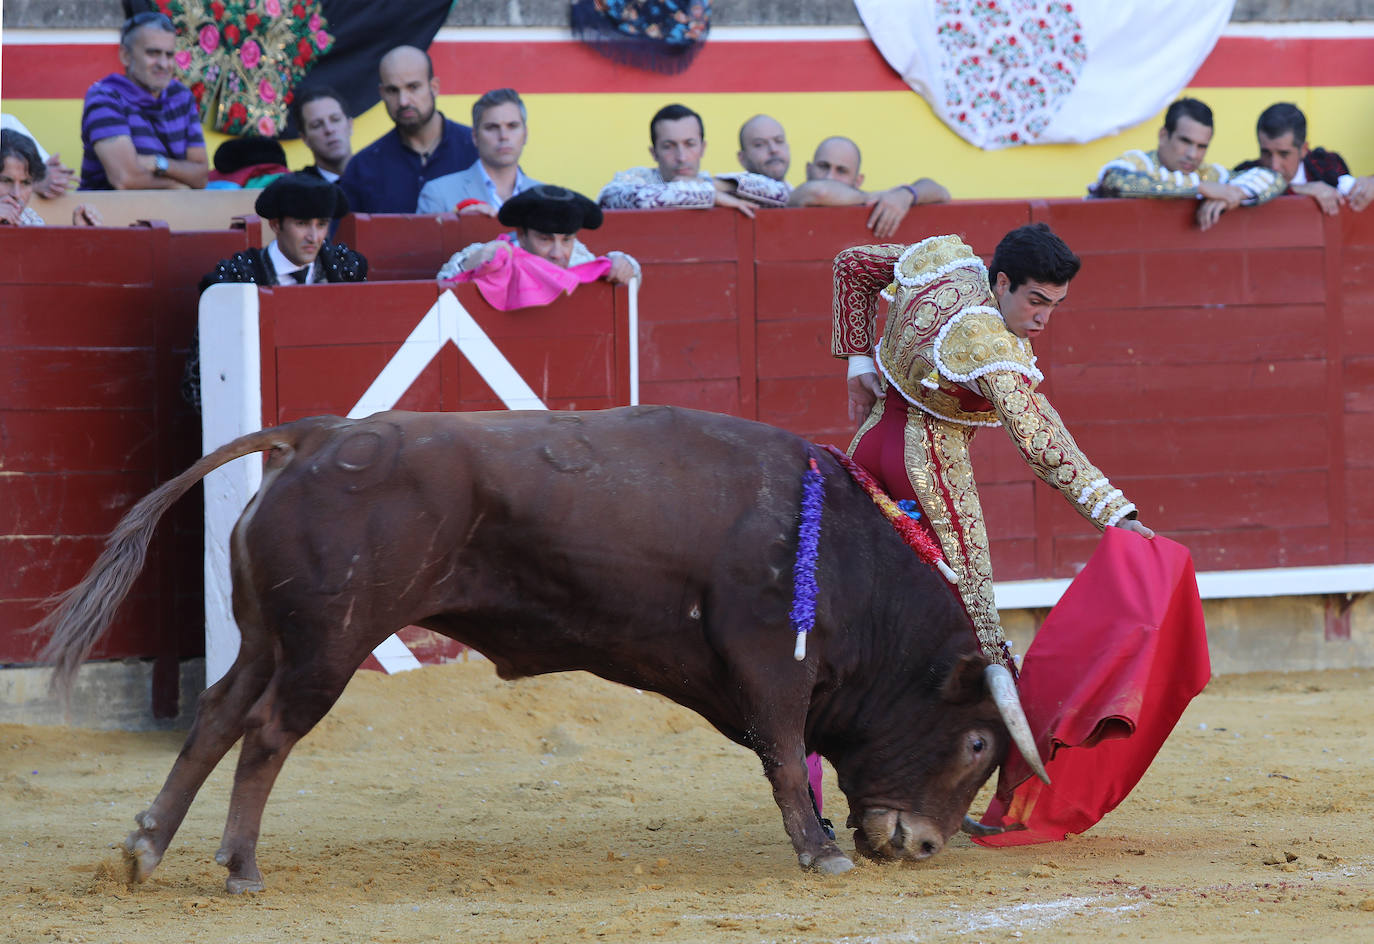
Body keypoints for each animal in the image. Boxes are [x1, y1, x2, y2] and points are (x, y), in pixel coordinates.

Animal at [37, 406, 1044, 895]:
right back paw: (240, 869)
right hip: (329, 645)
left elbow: (790, 757)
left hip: (264, 638)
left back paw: (145, 850)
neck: (839, 549)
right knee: (270, 734)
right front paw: (818, 852)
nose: (921, 846)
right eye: (979, 743)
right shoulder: (770, 660)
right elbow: (787, 753)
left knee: (216, 717)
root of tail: (315, 436)